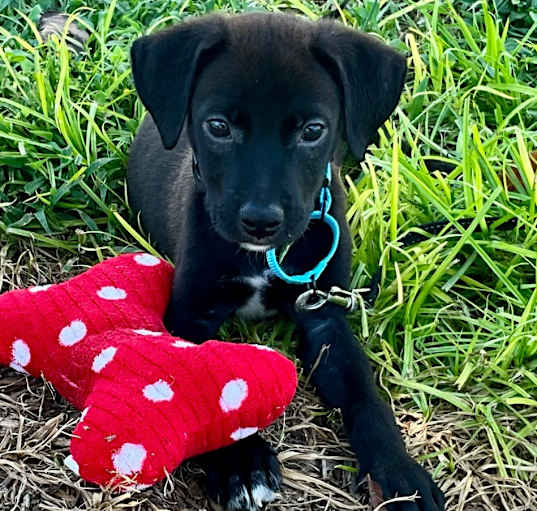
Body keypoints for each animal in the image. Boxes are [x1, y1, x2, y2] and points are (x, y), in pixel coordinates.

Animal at [126, 12, 444, 511]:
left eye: (312, 131)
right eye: (218, 126)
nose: (261, 222)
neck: (266, 258)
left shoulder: (324, 312)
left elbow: (365, 396)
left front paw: (399, 472)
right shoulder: (190, 314)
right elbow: (206, 380)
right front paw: (241, 463)